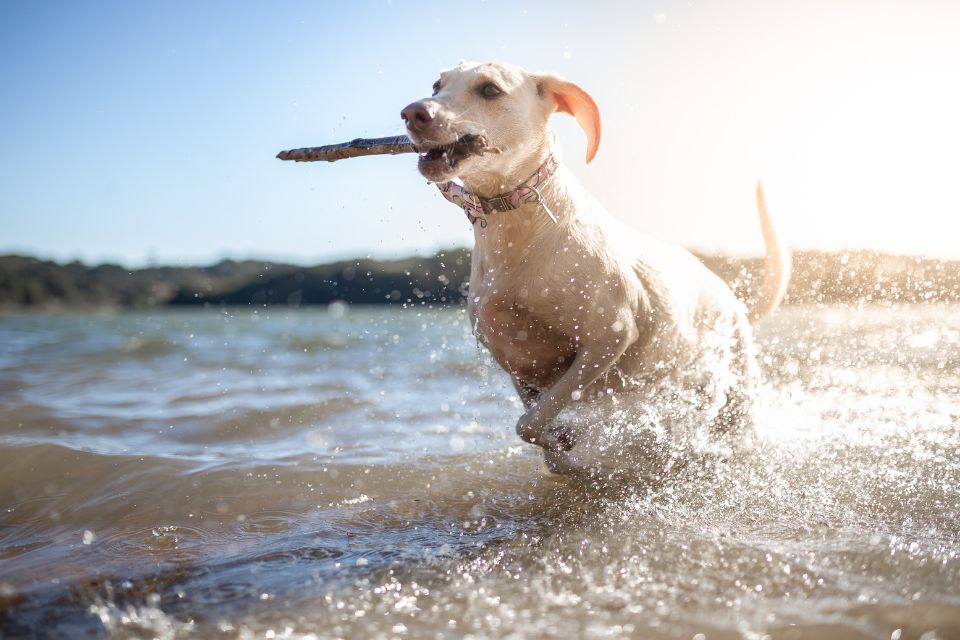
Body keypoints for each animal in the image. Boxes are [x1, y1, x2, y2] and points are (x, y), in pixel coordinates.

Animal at [398, 58, 788, 450]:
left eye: (490, 89)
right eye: (436, 86)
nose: (413, 112)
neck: (516, 228)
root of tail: (732, 297)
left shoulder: (609, 336)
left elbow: (538, 416)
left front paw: (569, 438)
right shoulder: (517, 364)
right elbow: (532, 423)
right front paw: (559, 441)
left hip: (734, 386)